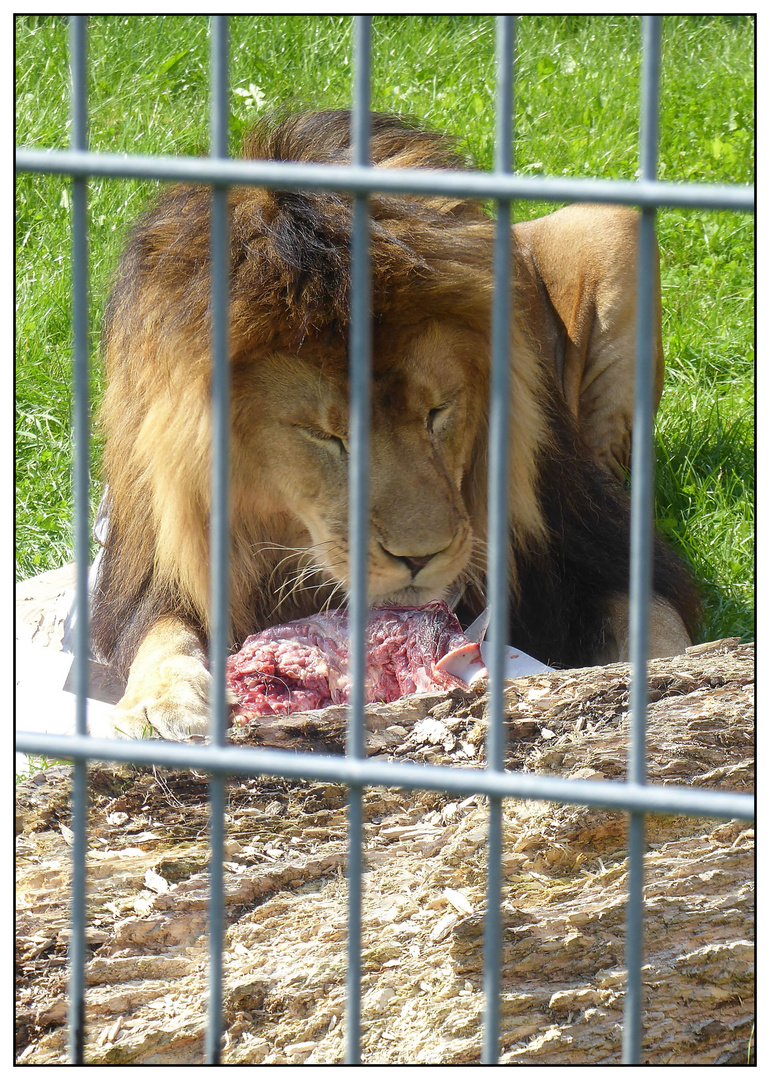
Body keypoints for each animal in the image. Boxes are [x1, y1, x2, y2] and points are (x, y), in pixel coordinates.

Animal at [90, 109, 695, 738]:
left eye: (438, 412)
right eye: (327, 436)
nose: (419, 560)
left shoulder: (589, 542)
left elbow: (653, 618)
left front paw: (678, 682)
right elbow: (161, 632)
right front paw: (159, 703)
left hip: (609, 224)